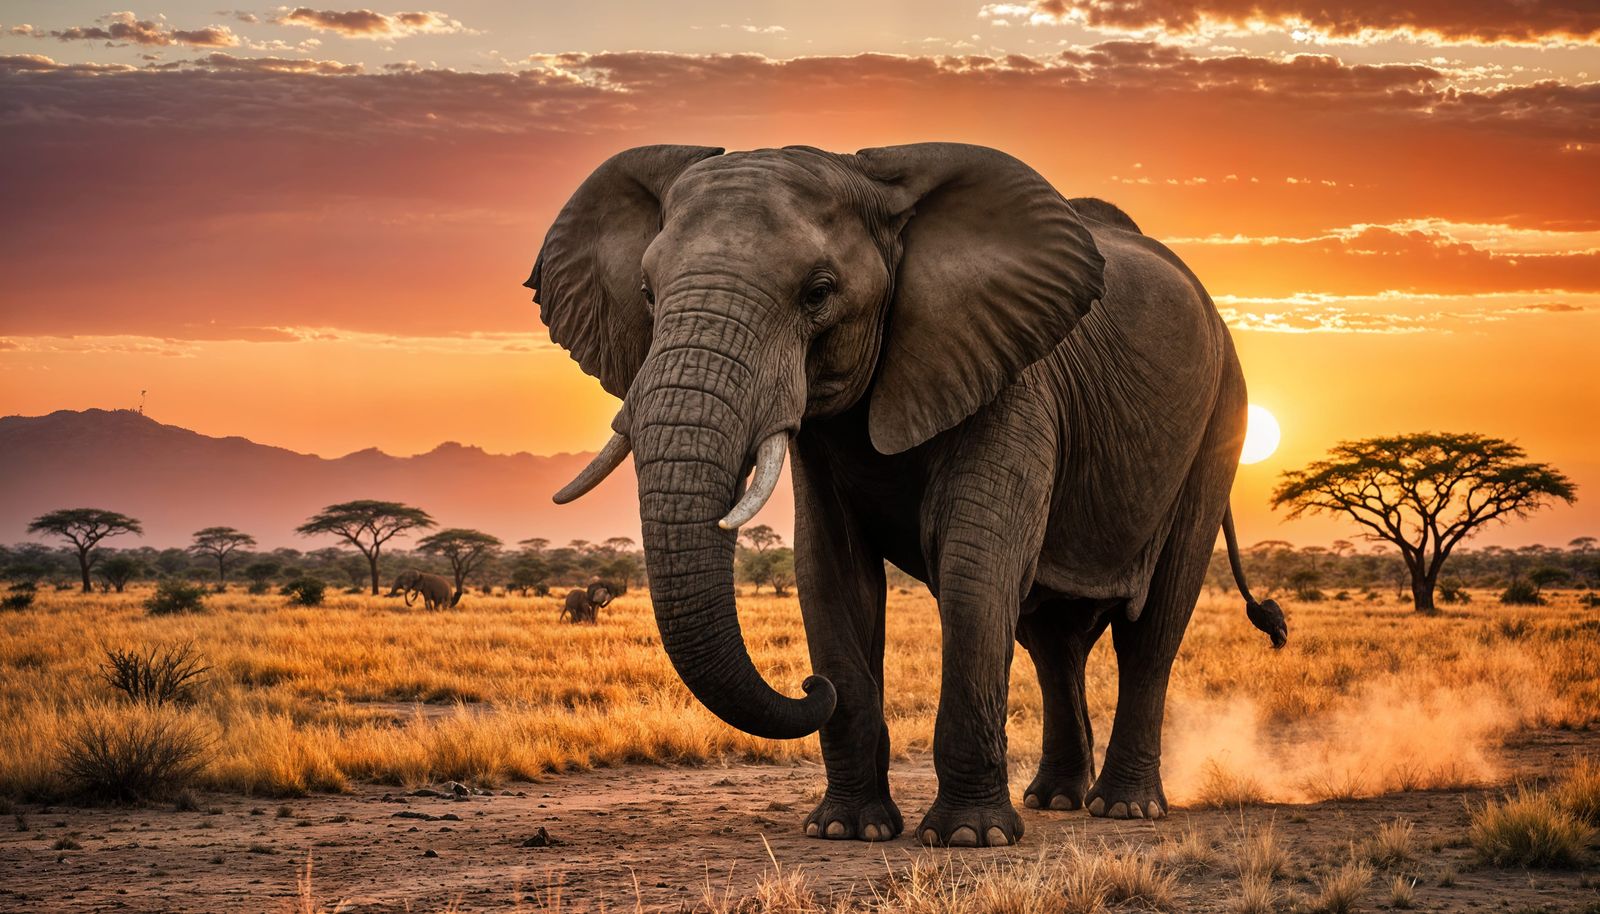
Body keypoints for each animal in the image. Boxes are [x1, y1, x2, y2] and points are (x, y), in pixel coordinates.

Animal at [527, 143, 1288, 847]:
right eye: (647, 295)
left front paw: (969, 839)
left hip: (1220, 421)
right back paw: (1055, 801)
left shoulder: (1015, 377)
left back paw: (1124, 809)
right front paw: (846, 829)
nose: (811, 687)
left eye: (818, 291)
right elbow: (831, 575)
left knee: (1150, 627)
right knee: (1053, 640)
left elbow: (975, 572)